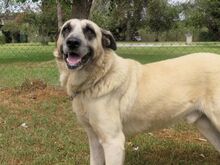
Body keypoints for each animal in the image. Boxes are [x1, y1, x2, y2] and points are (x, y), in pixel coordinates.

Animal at [54, 18, 220, 164]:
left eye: (89, 31)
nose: (72, 42)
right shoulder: (95, 140)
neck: (99, 77)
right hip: (206, 126)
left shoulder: (113, 141)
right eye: (66, 29)